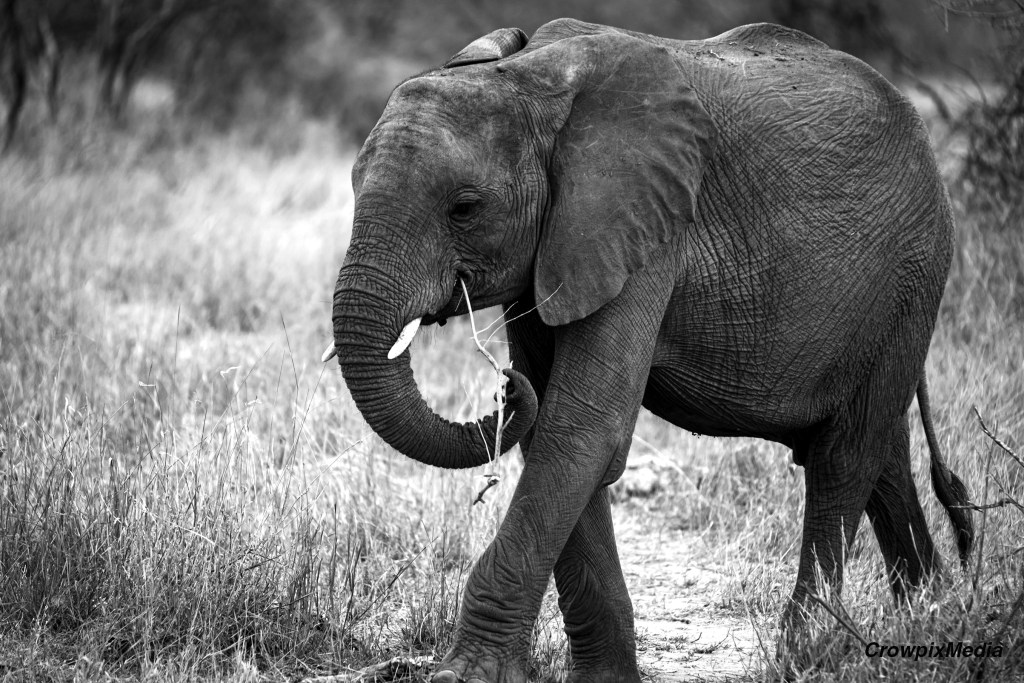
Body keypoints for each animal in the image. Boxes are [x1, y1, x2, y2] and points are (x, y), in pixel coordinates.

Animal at [325, 18, 974, 683]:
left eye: (465, 207)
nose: (505, 382)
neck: (530, 81)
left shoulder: (645, 230)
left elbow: (582, 426)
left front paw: (467, 673)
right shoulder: (563, 245)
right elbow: (560, 432)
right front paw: (603, 679)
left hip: (914, 273)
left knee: (844, 457)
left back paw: (806, 653)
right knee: (882, 454)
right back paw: (928, 621)